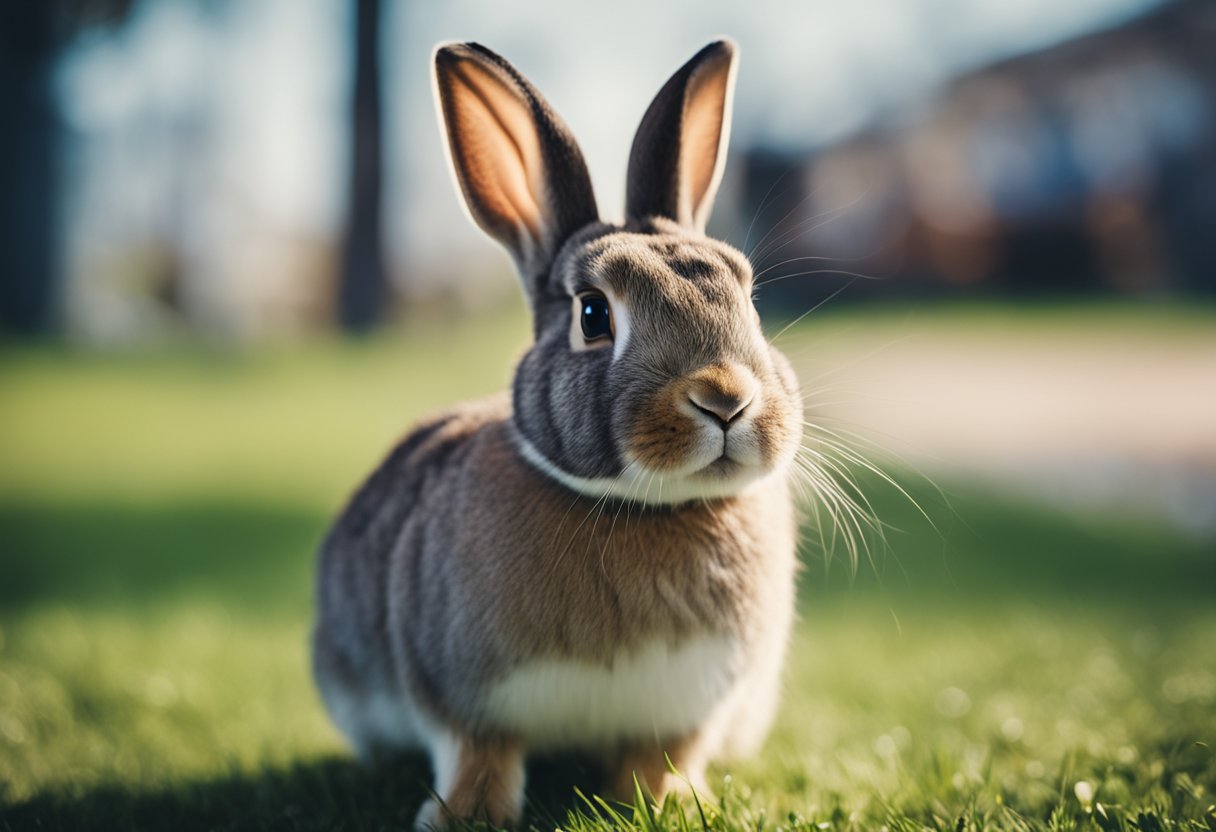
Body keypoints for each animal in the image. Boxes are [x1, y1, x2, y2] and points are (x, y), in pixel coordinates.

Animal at [313, 40, 807, 832]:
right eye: (593, 314)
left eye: (749, 299)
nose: (726, 399)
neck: (642, 507)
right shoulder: (458, 698)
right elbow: (478, 752)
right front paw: (466, 816)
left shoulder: (688, 710)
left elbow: (663, 755)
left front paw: (670, 802)